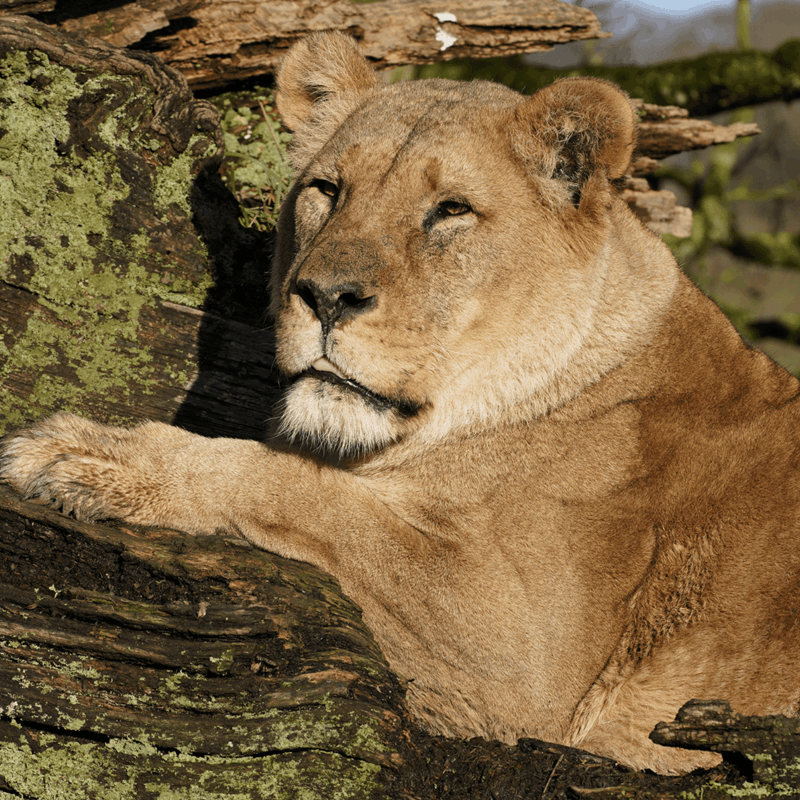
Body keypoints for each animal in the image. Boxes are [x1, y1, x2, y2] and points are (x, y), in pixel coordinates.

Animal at [2, 31, 799, 776]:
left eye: (450, 210)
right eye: (328, 190)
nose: (325, 296)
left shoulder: (520, 656)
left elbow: (299, 488)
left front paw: (94, 455)